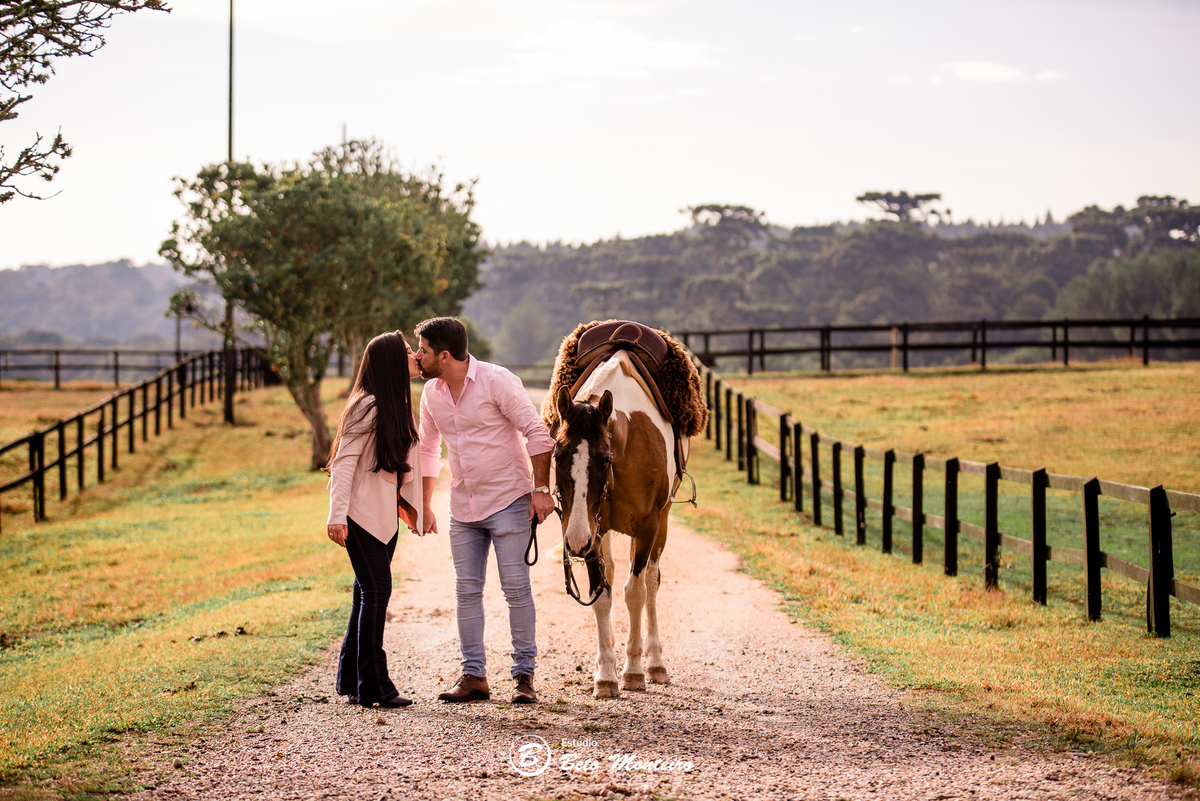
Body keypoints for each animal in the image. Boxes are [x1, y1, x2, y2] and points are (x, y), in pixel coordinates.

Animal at [552, 350, 682, 699]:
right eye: (557, 456)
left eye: (605, 459)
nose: (574, 541)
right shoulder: (592, 531)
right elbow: (602, 595)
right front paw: (606, 675)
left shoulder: (647, 527)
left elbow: (635, 592)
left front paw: (634, 671)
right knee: (610, 573)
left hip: (660, 523)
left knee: (651, 582)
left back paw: (655, 663)